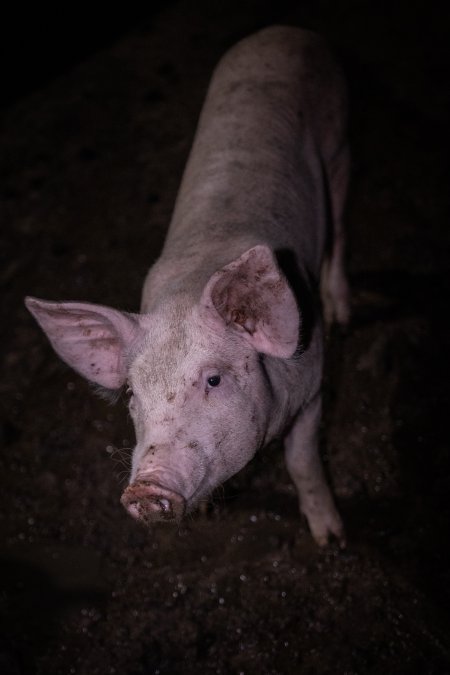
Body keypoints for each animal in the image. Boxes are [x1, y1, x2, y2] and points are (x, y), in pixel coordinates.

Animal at [24, 23, 350, 548]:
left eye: (213, 379)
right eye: (132, 395)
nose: (144, 489)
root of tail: (281, 30)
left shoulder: (313, 385)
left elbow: (302, 461)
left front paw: (332, 540)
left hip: (339, 139)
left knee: (340, 227)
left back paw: (343, 311)